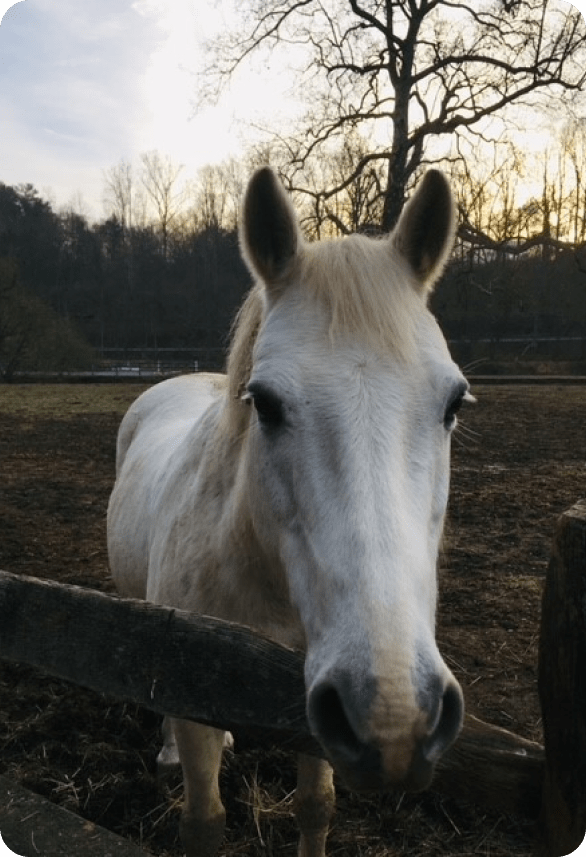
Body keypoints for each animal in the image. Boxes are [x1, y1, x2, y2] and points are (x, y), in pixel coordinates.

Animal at [106, 169, 470, 856]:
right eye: (266, 404)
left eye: (454, 403)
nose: (396, 717)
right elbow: (204, 820)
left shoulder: (320, 706)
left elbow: (315, 807)